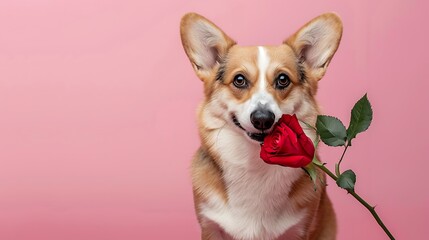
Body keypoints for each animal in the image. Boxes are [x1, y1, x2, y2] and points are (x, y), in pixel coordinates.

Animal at [179, 12, 342, 239]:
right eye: (239, 80)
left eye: (283, 79)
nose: (263, 118)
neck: (255, 162)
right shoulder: (210, 227)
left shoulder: (299, 230)